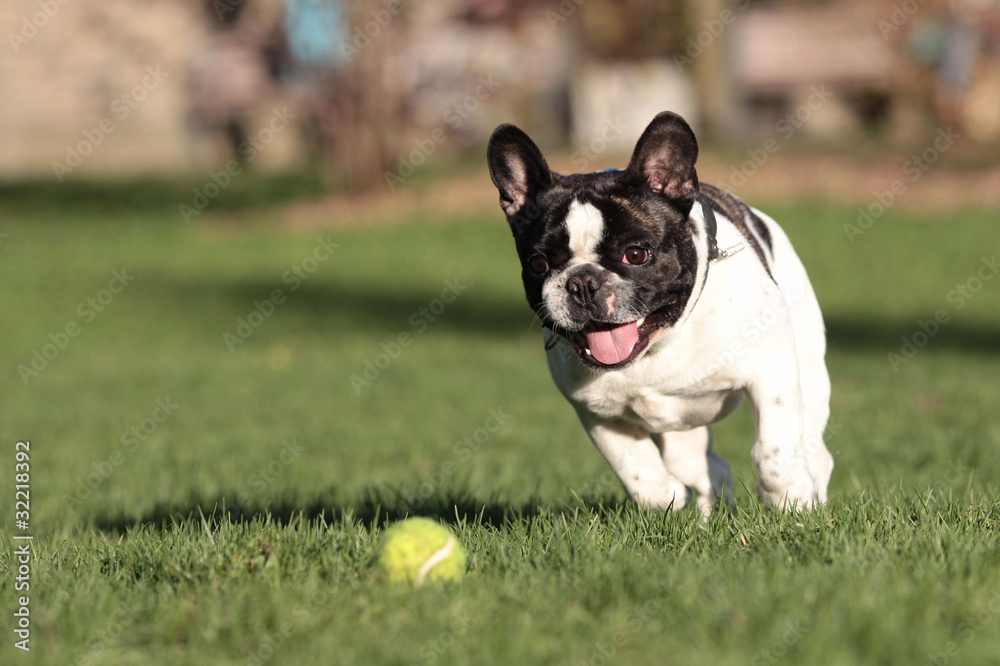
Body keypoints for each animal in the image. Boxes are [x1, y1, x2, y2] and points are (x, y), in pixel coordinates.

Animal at [488, 111, 832, 510]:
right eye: (539, 264)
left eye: (636, 254)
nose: (583, 282)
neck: (660, 344)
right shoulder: (597, 412)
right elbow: (636, 470)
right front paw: (668, 497)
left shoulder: (771, 371)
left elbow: (773, 451)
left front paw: (791, 500)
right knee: (708, 469)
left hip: (809, 375)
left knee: (813, 448)